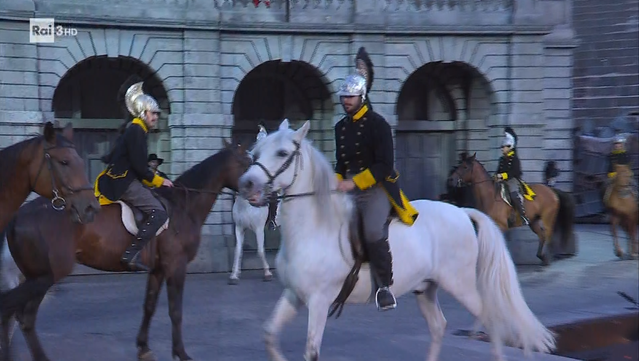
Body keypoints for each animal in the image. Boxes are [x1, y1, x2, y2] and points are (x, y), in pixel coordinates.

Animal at [0, 140, 255, 360]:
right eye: (247, 163)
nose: (260, 193)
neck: (183, 206)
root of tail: (17, 216)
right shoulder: (176, 266)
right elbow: (175, 311)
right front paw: (181, 353)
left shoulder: (158, 269)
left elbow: (149, 307)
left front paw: (143, 347)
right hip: (44, 277)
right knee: (24, 317)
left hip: (30, 277)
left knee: (12, 313)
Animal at [238, 119, 556, 360]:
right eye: (256, 152)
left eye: (282, 153)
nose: (247, 184)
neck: (314, 228)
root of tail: (462, 212)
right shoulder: (293, 295)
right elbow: (269, 335)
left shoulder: (318, 301)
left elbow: (311, 352)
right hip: (426, 287)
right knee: (439, 326)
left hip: (461, 285)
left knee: (490, 320)